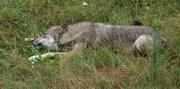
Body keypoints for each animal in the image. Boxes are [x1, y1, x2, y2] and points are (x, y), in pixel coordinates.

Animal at [29, 20, 166, 61]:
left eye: (43, 34)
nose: (32, 42)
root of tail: (163, 37)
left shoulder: (74, 54)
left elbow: (51, 53)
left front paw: (34, 57)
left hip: (140, 41)